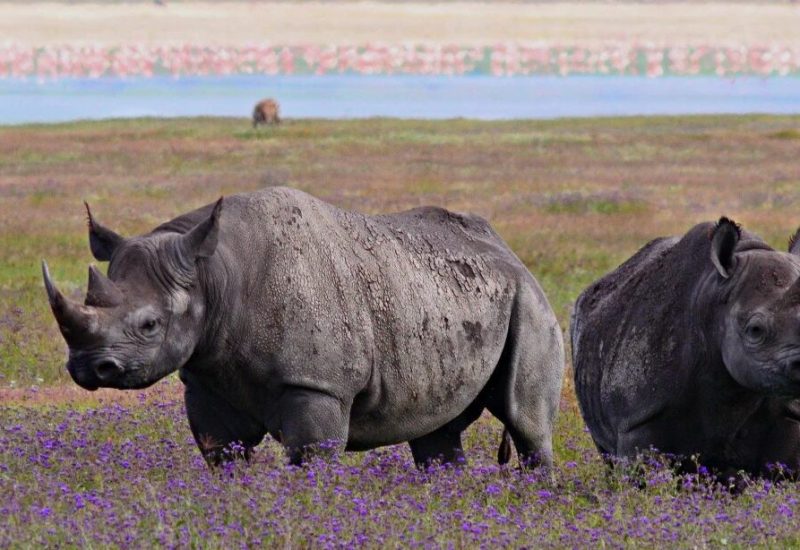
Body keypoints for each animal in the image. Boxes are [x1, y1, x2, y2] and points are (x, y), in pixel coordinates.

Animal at [43, 187, 565, 468]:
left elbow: (310, 458)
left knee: (527, 424)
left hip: (529, 303)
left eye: (150, 324)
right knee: (436, 435)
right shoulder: (207, 376)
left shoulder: (317, 385)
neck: (215, 275)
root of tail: (511, 255)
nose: (89, 368)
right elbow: (222, 455)